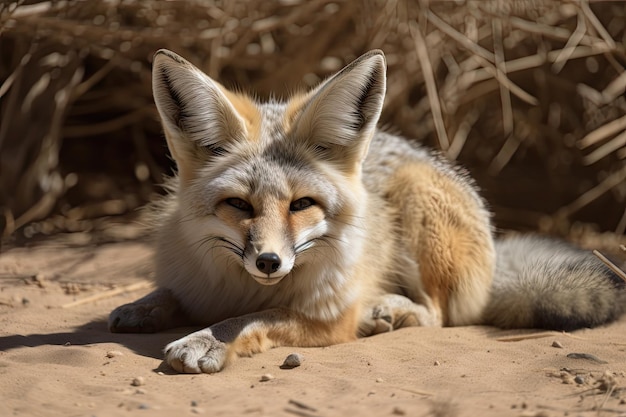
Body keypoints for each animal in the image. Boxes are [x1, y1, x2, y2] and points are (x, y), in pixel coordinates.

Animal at [108, 49, 624, 374]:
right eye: (239, 204)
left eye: (301, 204)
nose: (269, 262)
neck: (240, 289)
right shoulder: (192, 282)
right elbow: (169, 294)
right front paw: (142, 307)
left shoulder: (327, 316)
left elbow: (253, 319)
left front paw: (208, 339)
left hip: (416, 202)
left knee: (441, 314)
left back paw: (386, 311)